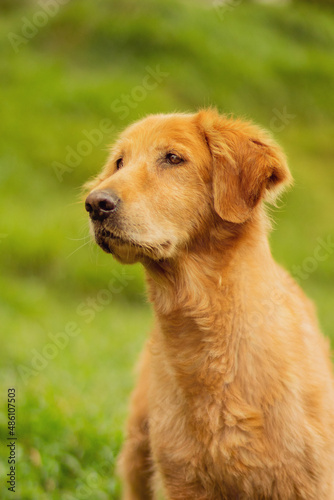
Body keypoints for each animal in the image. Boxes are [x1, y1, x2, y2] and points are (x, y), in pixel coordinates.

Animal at [84, 110, 334, 500]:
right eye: (120, 162)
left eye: (173, 158)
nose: (95, 204)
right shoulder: (183, 478)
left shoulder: (311, 479)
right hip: (139, 451)